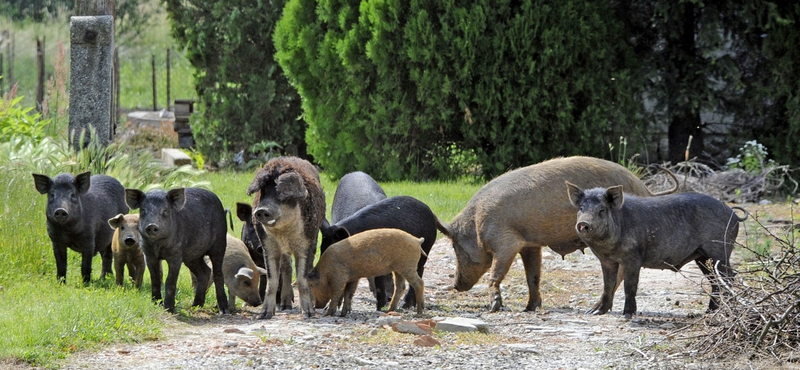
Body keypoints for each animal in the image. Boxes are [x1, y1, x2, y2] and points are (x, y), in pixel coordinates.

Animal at [248, 156, 326, 318]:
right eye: (263, 190)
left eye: (282, 193)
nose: (261, 210)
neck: (283, 232)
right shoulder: (267, 247)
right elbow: (272, 281)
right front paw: (264, 315)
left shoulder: (305, 245)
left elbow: (302, 278)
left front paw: (308, 314)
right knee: (287, 267)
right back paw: (285, 306)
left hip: (314, 239)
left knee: (308, 268)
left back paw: (311, 306)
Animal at [434, 156, 680, 312]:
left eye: (455, 246)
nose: (455, 285)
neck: (476, 221)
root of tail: (645, 189)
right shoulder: (530, 244)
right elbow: (533, 276)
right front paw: (529, 308)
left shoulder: (506, 241)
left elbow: (496, 273)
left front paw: (495, 307)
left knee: (619, 271)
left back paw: (595, 309)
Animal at [564, 182, 748, 318]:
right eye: (581, 208)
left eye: (601, 210)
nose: (584, 223)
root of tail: (733, 213)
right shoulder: (606, 260)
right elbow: (607, 285)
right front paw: (593, 313)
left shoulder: (633, 257)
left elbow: (630, 285)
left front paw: (627, 315)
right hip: (702, 257)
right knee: (716, 281)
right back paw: (709, 313)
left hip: (719, 251)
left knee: (728, 277)